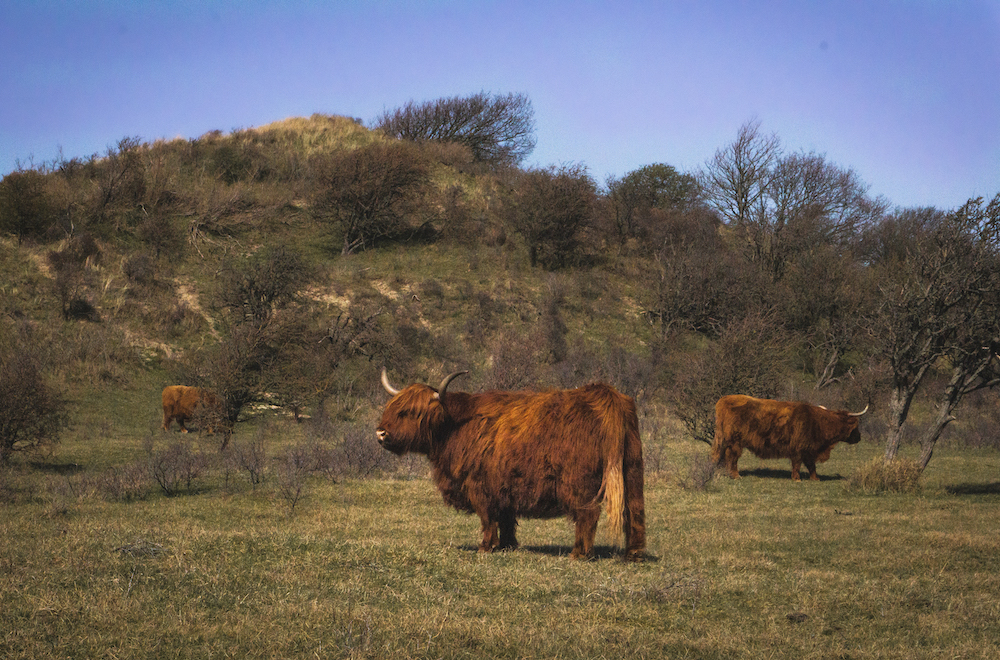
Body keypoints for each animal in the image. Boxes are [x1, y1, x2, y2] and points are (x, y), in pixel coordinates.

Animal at [376, 368, 648, 560]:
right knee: (635, 511)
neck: (454, 425)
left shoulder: (479, 485)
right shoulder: (504, 486)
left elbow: (487, 518)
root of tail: (605, 396)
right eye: (392, 407)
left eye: (409, 412)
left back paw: (579, 553)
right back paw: (634, 554)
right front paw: (507, 545)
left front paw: (486, 547)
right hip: (633, 471)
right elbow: (505, 518)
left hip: (579, 482)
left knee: (588, 515)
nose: (380, 433)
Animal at [712, 394, 868, 482]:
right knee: (732, 458)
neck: (818, 423)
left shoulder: (809, 449)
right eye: (856, 427)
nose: (859, 437)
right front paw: (797, 479)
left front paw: (815, 478)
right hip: (735, 442)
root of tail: (724, 399)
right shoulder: (799, 448)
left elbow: (811, 465)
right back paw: (736, 476)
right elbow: (797, 464)